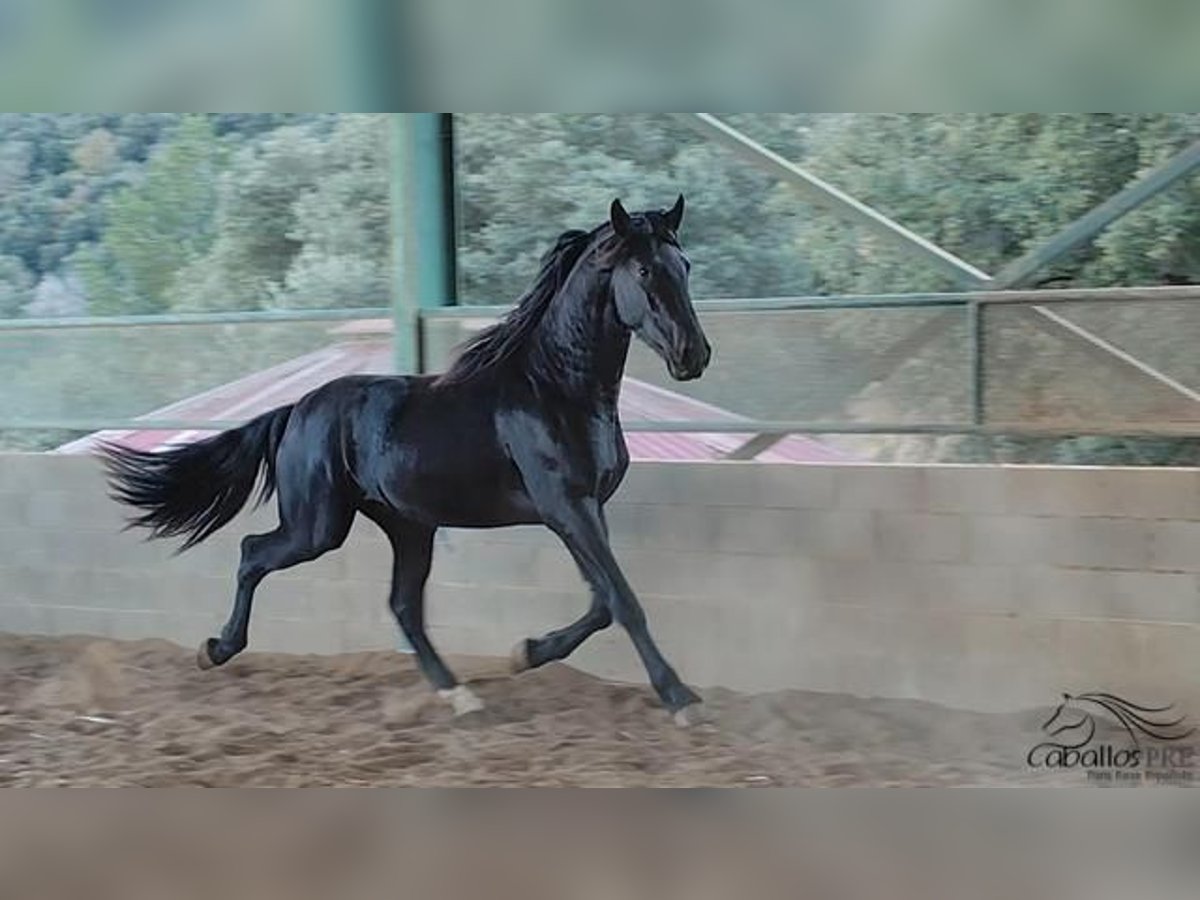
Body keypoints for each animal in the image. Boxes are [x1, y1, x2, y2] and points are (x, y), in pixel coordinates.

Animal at [103, 199, 710, 724]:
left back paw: (459, 696)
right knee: (254, 553)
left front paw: (526, 652)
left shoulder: (586, 508)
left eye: (682, 266)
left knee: (403, 606)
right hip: (318, 527)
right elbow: (622, 600)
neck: (556, 389)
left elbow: (603, 600)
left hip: (408, 526)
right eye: (642, 270)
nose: (694, 355)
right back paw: (215, 648)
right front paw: (680, 698)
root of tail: (297, 409)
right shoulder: (566, 507)